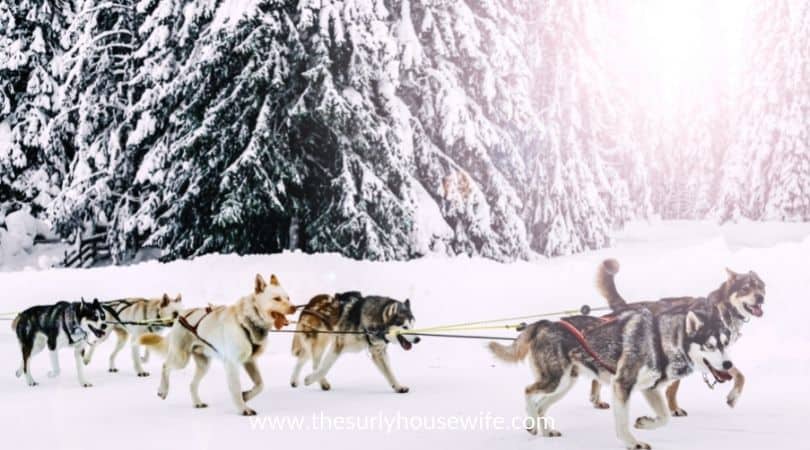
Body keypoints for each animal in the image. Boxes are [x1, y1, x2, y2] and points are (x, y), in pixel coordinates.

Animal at [140, 274, 296, 414]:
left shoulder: (250, 361)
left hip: (204, 365)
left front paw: (246, 396)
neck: (247, 321)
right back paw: (163, 390)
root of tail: (181, 315)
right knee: (165, 366)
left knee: (192, 384)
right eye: (277, 298)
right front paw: (243, 409)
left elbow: (260, 385)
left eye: (288, 298)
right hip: (181, 359)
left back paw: (197, 402)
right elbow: (236, 389)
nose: (294, 307)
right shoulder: (232, 364)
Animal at [288, 294, 416, 392]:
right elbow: (325, 367)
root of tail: (311, 302)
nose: (417, 339)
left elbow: (389, 372)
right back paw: (321, 382)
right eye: (405, 327)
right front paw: (309, 379)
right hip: (319, 344)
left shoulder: (378, 352)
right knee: (315, 364)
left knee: (303, 357)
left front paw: (398, 387)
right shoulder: (338, 344)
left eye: (413, 325)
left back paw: (294, 380)